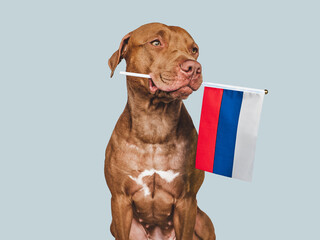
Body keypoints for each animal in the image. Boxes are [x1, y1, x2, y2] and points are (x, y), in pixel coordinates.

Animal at [105, 23, 215, 240]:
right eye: (156, 42)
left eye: (194, 50)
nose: (194, 67)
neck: (155, 125)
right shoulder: (120, 200)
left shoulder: (187, 201)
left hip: (203, 221)